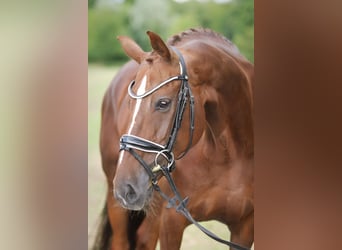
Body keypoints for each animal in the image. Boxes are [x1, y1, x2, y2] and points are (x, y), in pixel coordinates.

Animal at [93, 28, 254, 250]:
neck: (229, 155)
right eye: (129, 104)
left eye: (163, 103)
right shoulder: (171, 222)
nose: (126, 187)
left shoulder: (244, 228)